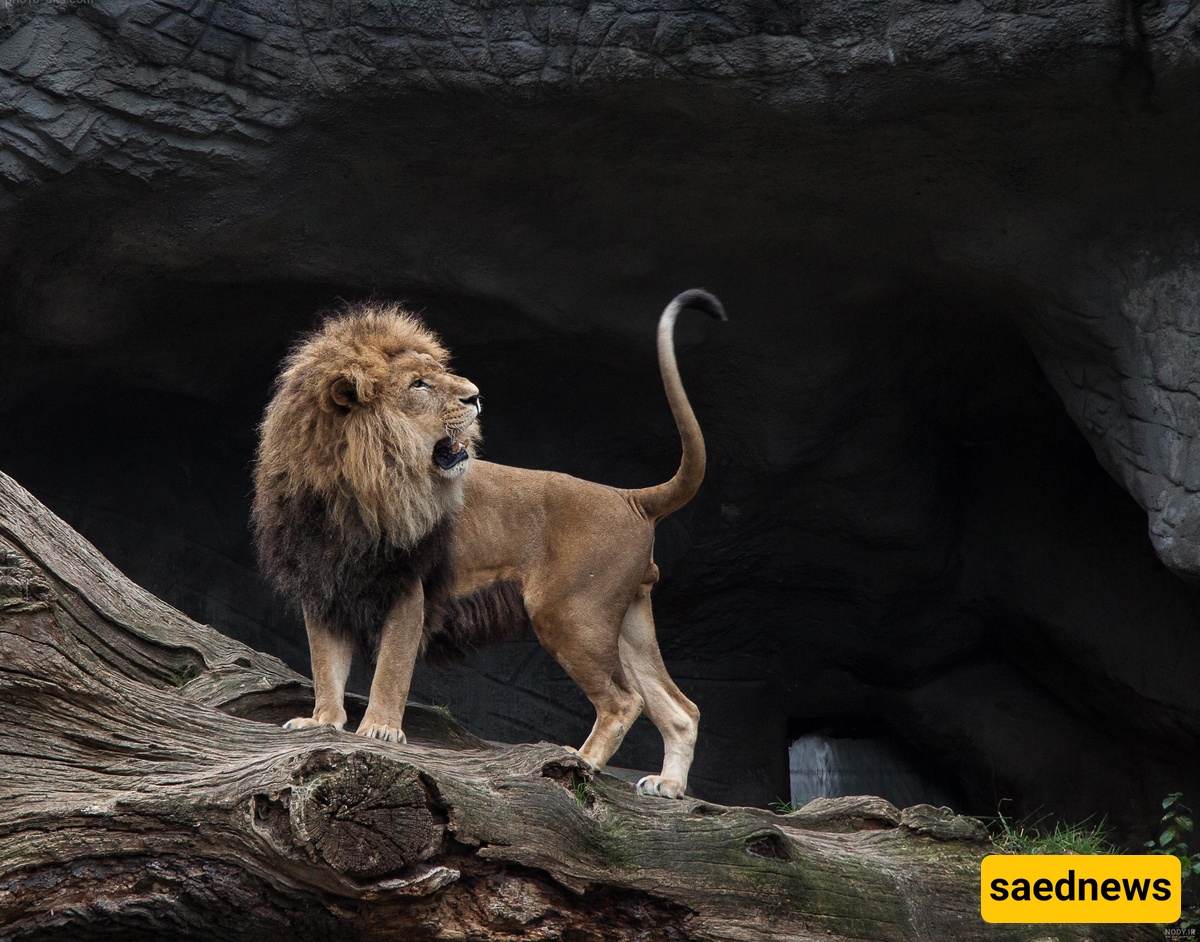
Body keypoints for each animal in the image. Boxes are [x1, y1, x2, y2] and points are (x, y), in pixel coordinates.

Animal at [252, 290, 725, 798]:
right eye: (419, 384)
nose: (475, 395)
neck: (349, 487)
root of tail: (628, 497)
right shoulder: (322, 586)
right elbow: (325, 664)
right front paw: (323, 721)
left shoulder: (408, 587)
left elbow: (392, 667)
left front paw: (380, 729)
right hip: (625, 622)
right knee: (680, 708)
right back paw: (668, 786)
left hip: (570, 614)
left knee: (624, 701)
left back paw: (580, 763)